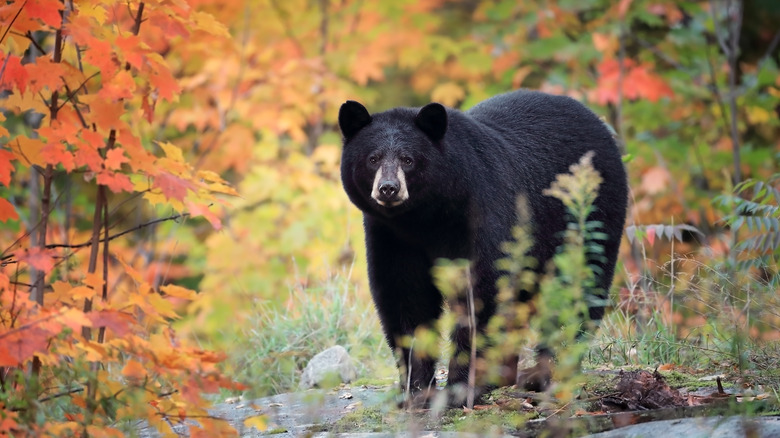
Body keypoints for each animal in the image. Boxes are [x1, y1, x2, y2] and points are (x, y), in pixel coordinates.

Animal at [338, 90, 628, 406]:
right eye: (373, 158)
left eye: (408, 159)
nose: (389, 188)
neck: (425, 216)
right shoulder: (391, 236)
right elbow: (405, 297)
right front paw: (415, 390)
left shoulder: (482, 212)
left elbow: (483, 291)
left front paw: (461, 388)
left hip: (588, 216)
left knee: (578, 286)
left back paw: (548, 372)